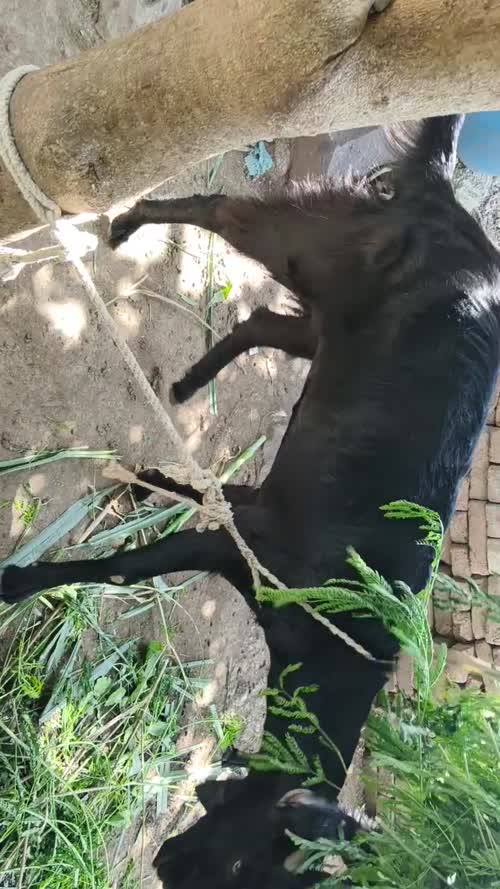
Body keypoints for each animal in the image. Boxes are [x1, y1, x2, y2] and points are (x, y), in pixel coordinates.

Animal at [1, 115, 500, 888]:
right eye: (245, 860)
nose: (165, 864)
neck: (338, 630)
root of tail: (449, 198)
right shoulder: (252, 542)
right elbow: (124, 568)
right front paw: (17, 582)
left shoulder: (256, 515)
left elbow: (210, 495)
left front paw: (143, 476)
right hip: (315, 243)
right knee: (221, 211)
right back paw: (124, 225)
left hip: (325, 321)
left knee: (262, 322)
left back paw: (185, 384)